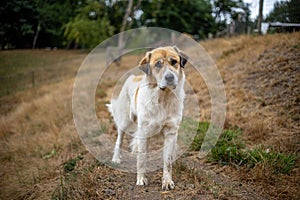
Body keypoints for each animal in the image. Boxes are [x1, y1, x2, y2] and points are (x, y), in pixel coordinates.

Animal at [106, 46, 188, 190]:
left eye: (174, 62)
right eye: (158, 64)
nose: (170, 77)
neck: (163, 97)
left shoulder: (171, 132)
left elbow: (167, 161)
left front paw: (167, 181)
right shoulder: (144, 132)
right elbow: (142, 158)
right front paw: (141, 179)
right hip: (124, 121)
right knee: (119, 140)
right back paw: (116, 158)